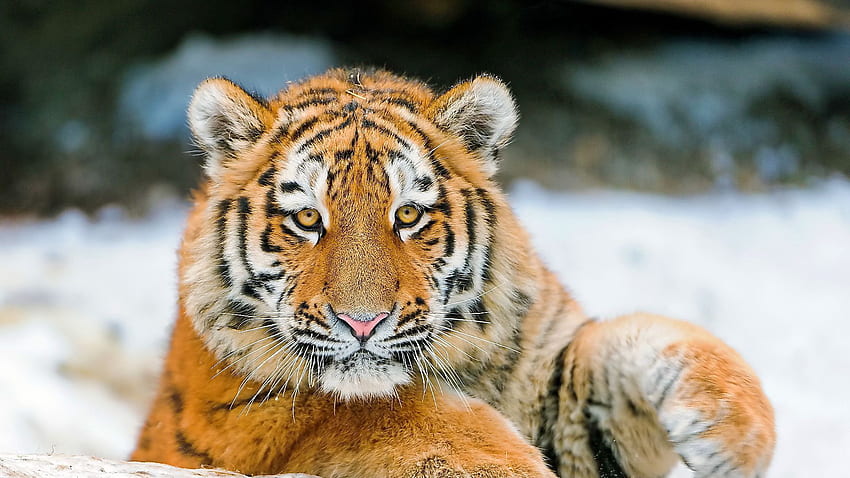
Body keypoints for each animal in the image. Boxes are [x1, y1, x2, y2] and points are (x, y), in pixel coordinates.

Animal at [129, 68, 772, 478]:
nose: (362, 324)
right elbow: (401, 415)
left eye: (408, 215)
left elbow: (641, 336)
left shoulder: (556, 382)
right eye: (307, 218)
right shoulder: (241, 417)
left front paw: (739, 434)